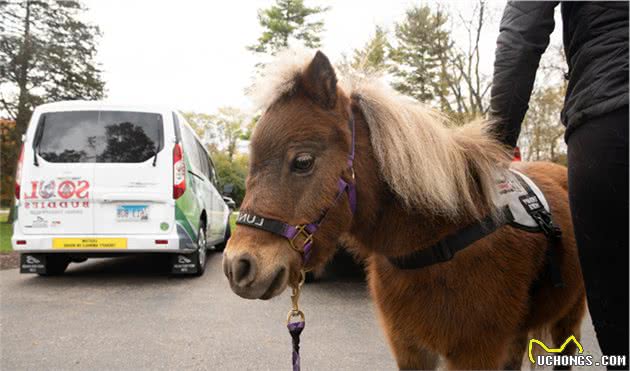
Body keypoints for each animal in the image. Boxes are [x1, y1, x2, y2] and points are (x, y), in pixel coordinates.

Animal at [223, 48, 588, 370]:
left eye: (302, 161)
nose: (237, 266)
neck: (440, 240)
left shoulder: (475, 352)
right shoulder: (410, 349)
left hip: (568, 320)